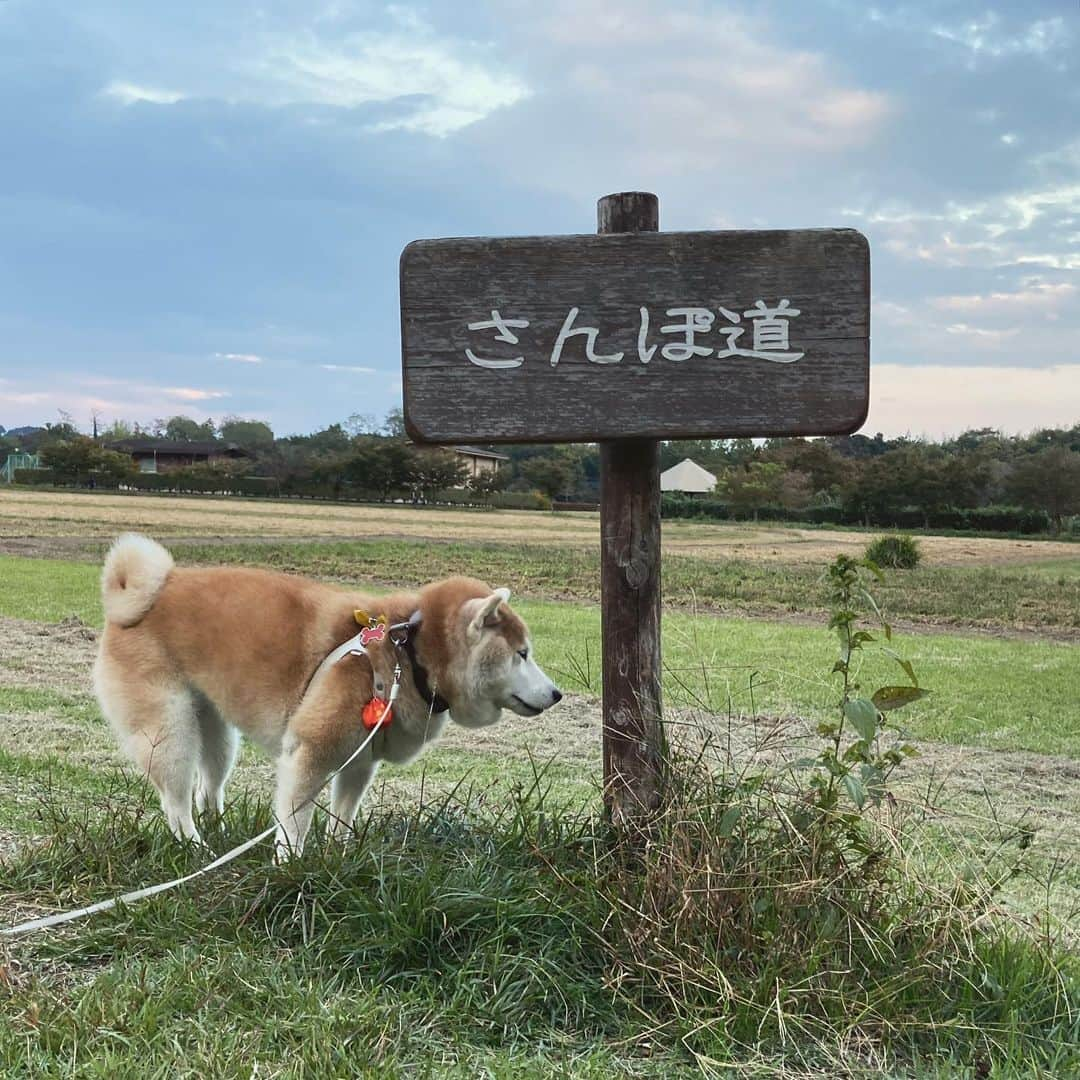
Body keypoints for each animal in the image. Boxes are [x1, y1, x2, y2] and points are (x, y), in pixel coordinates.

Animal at [91, 535, 561, 855]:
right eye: (522, 654)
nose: (557, 694)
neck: (406, 655)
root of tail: (142, 595)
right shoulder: (310, 754)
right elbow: (295, 824)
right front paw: (292, 866)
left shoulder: (360, 761)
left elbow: (343, 818)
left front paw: (340, 855)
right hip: (170, 732)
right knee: (175, 803)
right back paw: (198, 851)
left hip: (216, 733)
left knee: (209, 789)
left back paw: (221, 838)